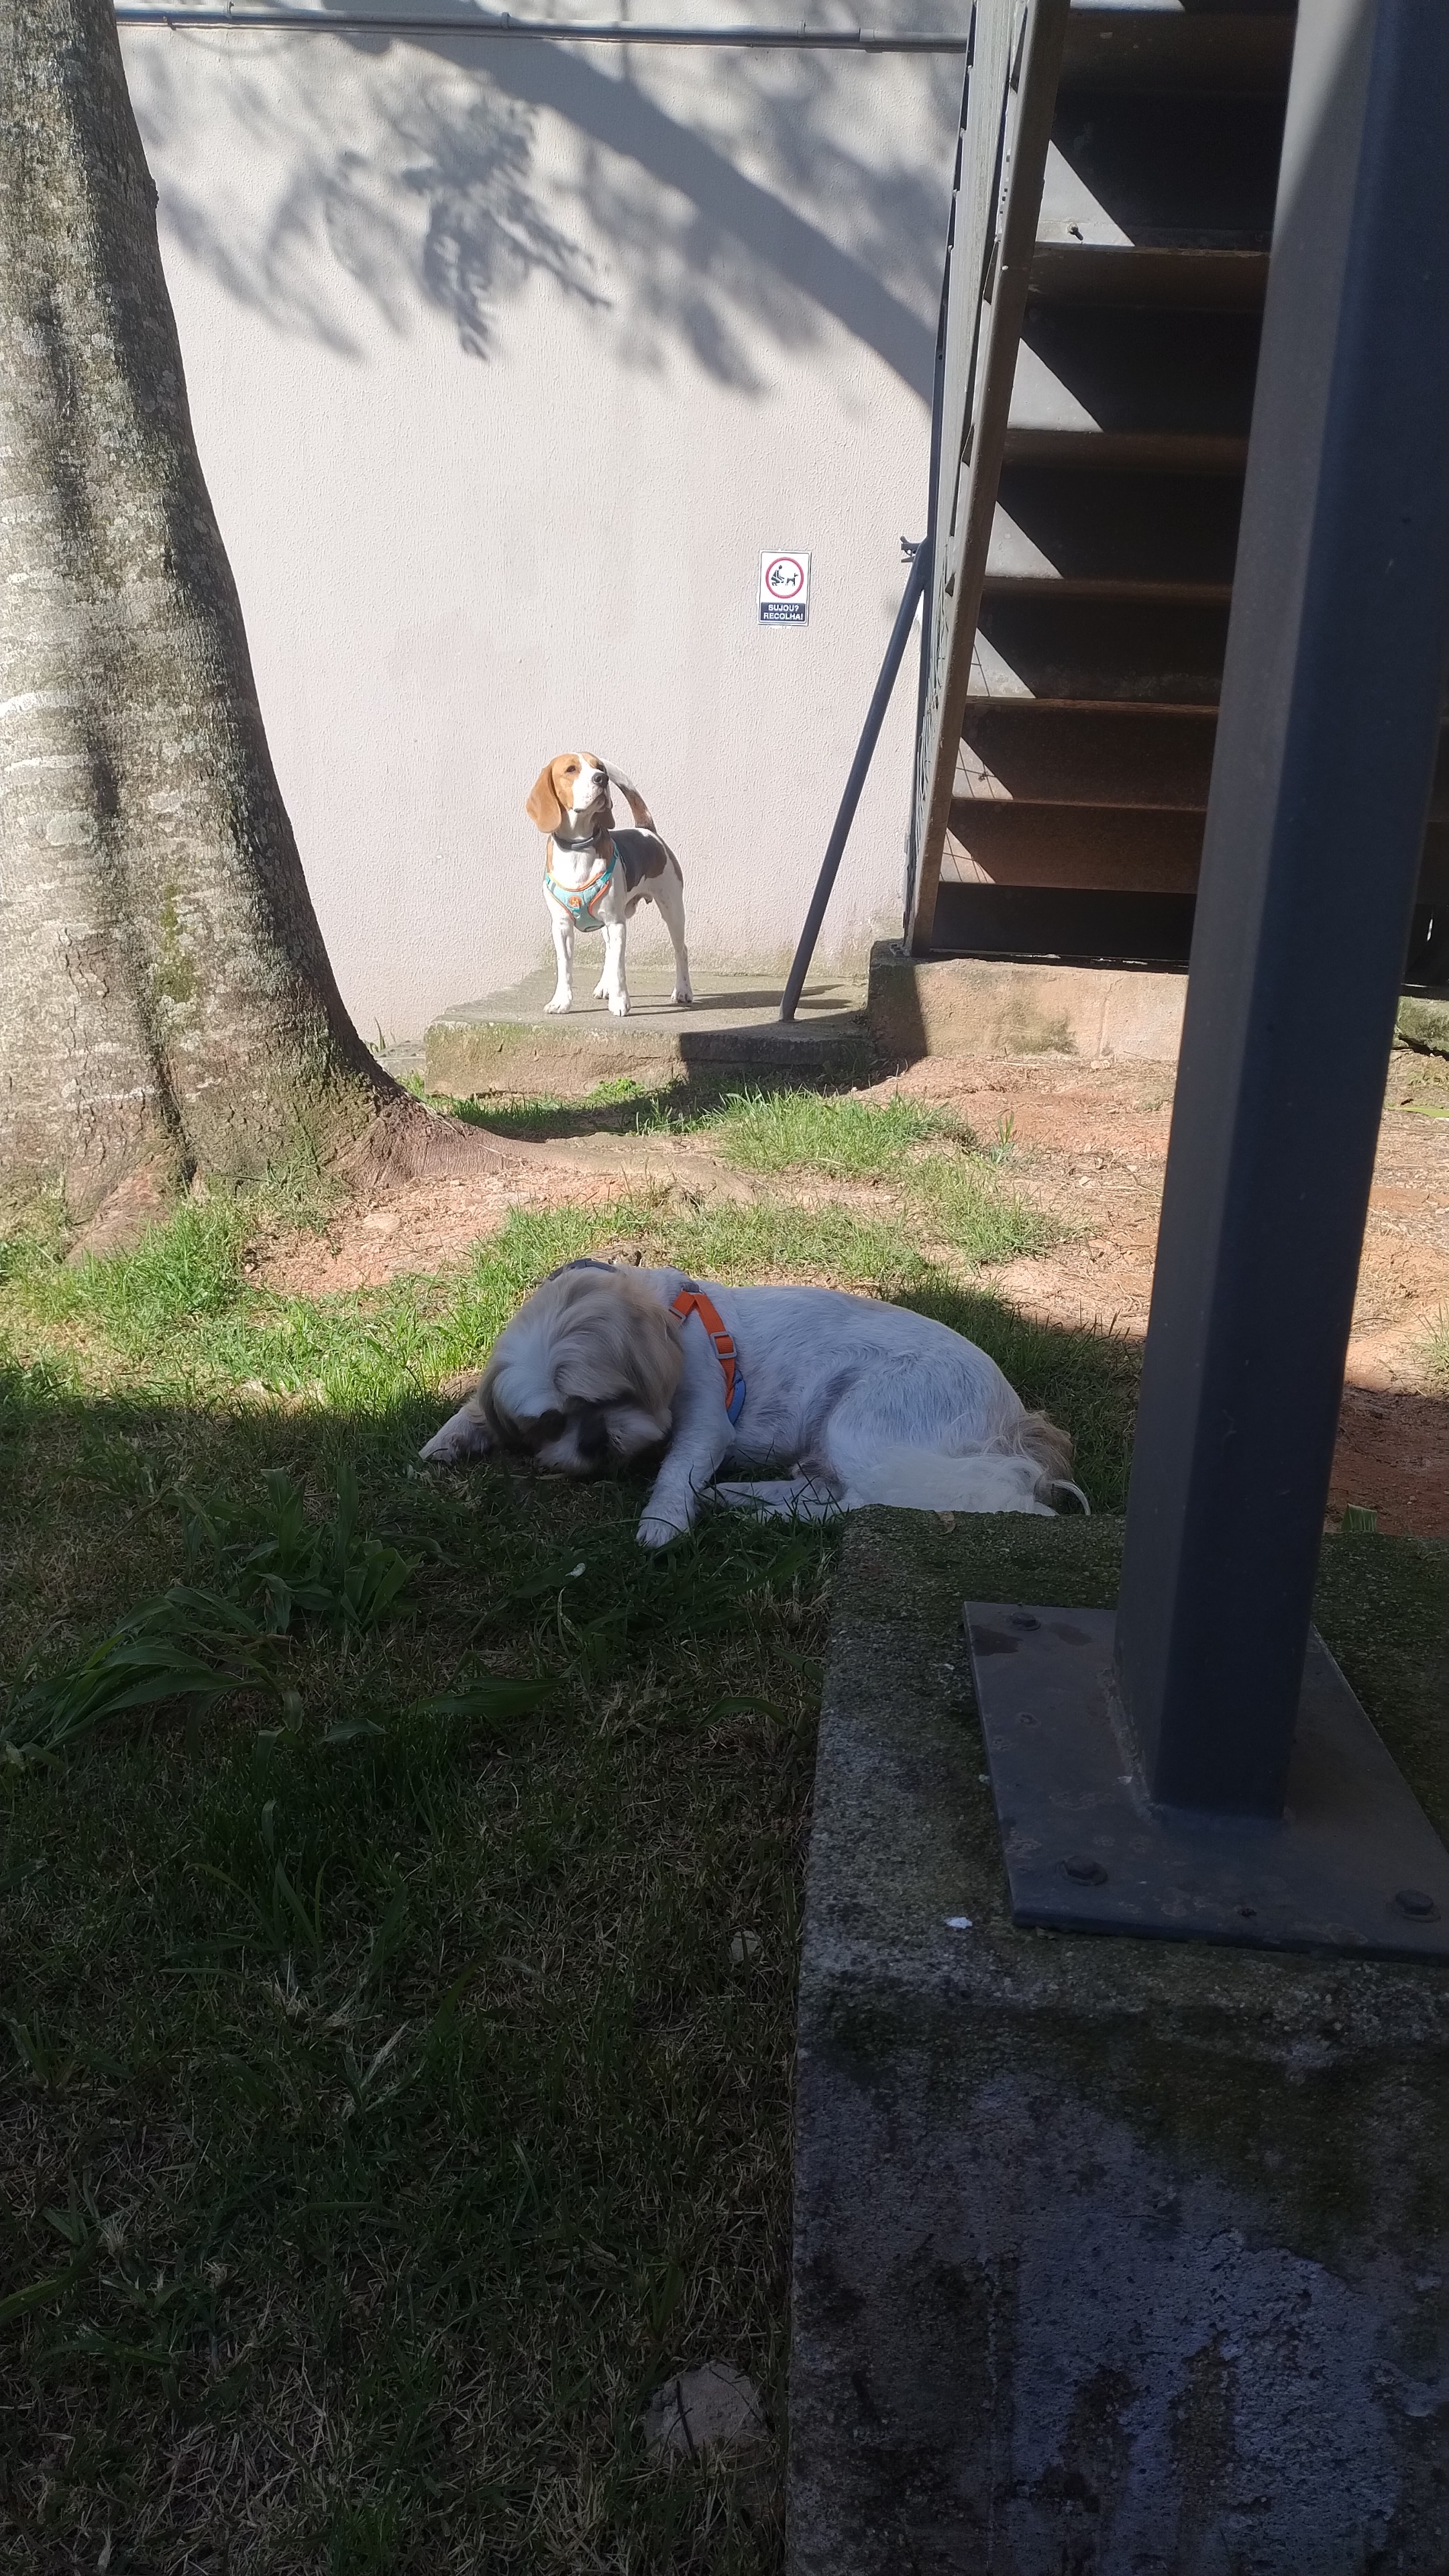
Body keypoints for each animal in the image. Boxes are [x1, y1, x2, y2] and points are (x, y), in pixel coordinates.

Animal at [420, 1260, 1084, 1547]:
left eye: (610, 1398)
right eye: (552, 1423)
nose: (592, 1444)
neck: (664, 1317)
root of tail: (1015, 1418)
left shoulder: (704, 1420)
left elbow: (677, 1469)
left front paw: (662, 1522)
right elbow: (471, 1411)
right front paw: (448, 1438)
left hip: (867, 1424)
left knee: (873, 1501)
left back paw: (758, 1510)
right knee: (827, 1488)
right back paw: (739, 1496)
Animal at [526, 753, 692, 1019]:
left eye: (600, 768)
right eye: (571, 769)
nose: (601, 779)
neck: (578, 848)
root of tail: (646, 830)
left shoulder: (616, 923)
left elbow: (620, 969)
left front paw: (620, 1002)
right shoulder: (561, 926)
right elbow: (565, 968)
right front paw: (561, 1002)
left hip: (672, 910)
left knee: (681, 951)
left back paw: (683, 991)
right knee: (609, 954)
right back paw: (605, 986)